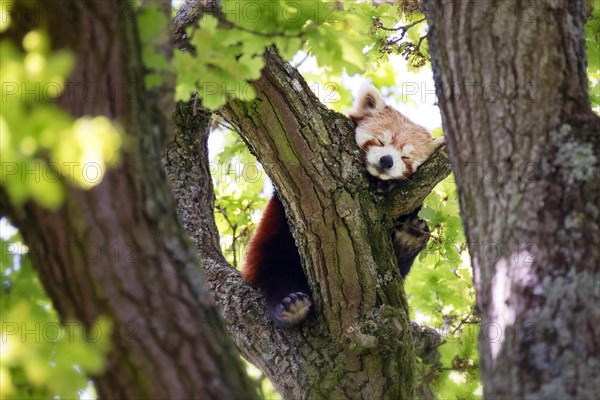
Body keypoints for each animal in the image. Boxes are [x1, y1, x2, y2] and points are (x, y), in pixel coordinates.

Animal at [241, 83, 442, 328]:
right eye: (380, 141)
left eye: (406, 157)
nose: (386, 161)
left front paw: (387, 185)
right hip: (269, 252)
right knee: (277, 278)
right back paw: (290, 307)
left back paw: (409, 239)